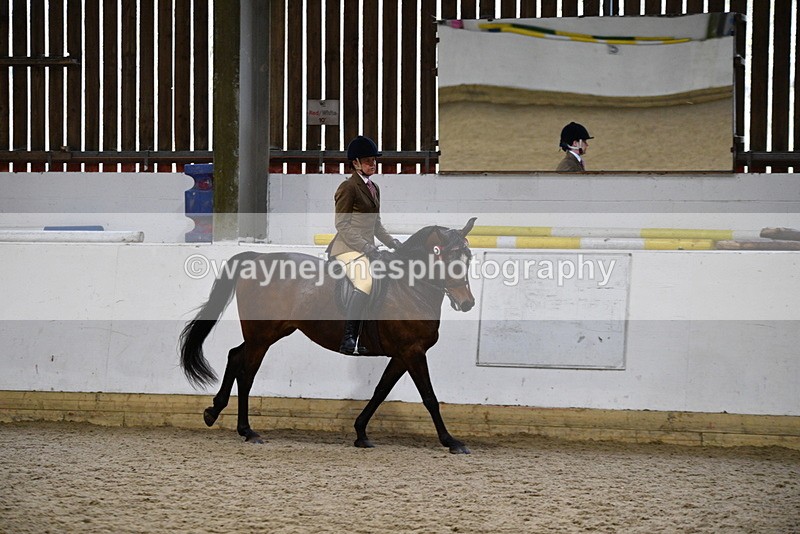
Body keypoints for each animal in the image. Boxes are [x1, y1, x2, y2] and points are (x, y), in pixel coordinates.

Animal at [180, 217, 477, 454]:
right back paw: (248, 431)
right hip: (261, 337)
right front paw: (451, 441)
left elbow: (380, 391)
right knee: (246, 374)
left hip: (269, 333)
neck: (409, 288)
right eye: (448, 257)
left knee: (234, 356)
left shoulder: (403, 354)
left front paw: (360, 433)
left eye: (468, 258)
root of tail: (255, 257)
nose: (467, 303)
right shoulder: (413, 351)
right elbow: (429, 398)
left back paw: (213, 412)